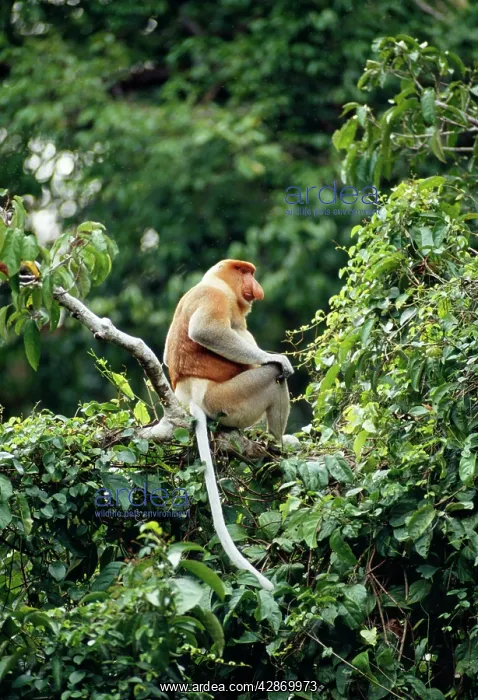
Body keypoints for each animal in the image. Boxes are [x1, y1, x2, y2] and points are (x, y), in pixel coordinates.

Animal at [163, 260, 294, 591]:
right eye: (245, 272)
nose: (255, 285)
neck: (216, 282)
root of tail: (191, 398)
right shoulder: (215, 297)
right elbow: (206, 330)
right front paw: (278, 358)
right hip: (228, 399)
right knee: (272, 377)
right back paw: (278, 445)